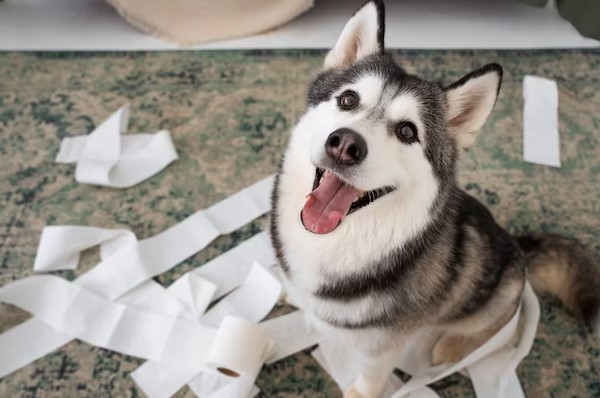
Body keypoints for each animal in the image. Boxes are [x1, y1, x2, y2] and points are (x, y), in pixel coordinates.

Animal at [270, 1, 600, 396]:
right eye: (348, 99)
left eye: (407, 132)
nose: (346, 144)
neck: (338, 241)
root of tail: (517, 245)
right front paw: (294, 294)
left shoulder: (383, 344)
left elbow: (372, 376)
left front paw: (359, 391)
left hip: (498, 299)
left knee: (505, 329)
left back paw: (453, 344)